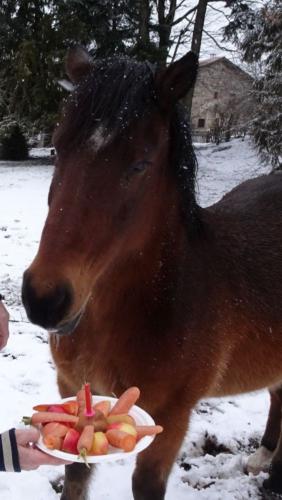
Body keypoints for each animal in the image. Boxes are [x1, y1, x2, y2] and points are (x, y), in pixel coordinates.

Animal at [21, 46, 282, 496]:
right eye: (55, 149)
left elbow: (146, 484)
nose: (44, 299)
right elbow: (75, 475)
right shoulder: (71, 388)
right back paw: (263, 457)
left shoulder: (170, 418)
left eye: (140, 164)